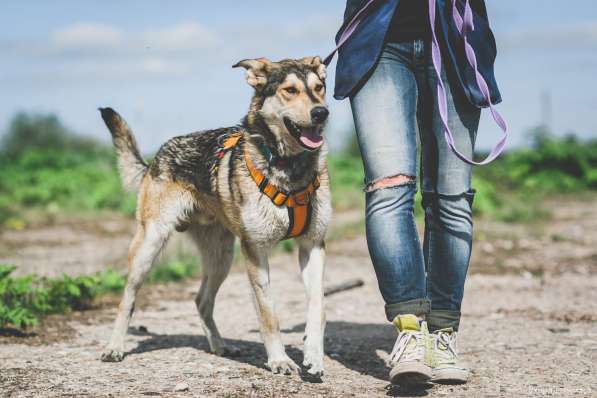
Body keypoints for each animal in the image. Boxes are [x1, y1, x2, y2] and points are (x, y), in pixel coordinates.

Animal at [96, 56, 330, 376]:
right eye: (290, 90)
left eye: (319, 88)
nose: (321, 113)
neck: (290, 169)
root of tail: (154, 159)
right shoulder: (255, 252)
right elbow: (268, 313)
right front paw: (279, 360)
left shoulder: (312, 245)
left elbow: (317, 305)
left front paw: (314, 355)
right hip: (150, 244)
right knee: (127, 299)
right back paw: (115, 347)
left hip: (221, 257)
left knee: (202, 300)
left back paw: (219, 345)